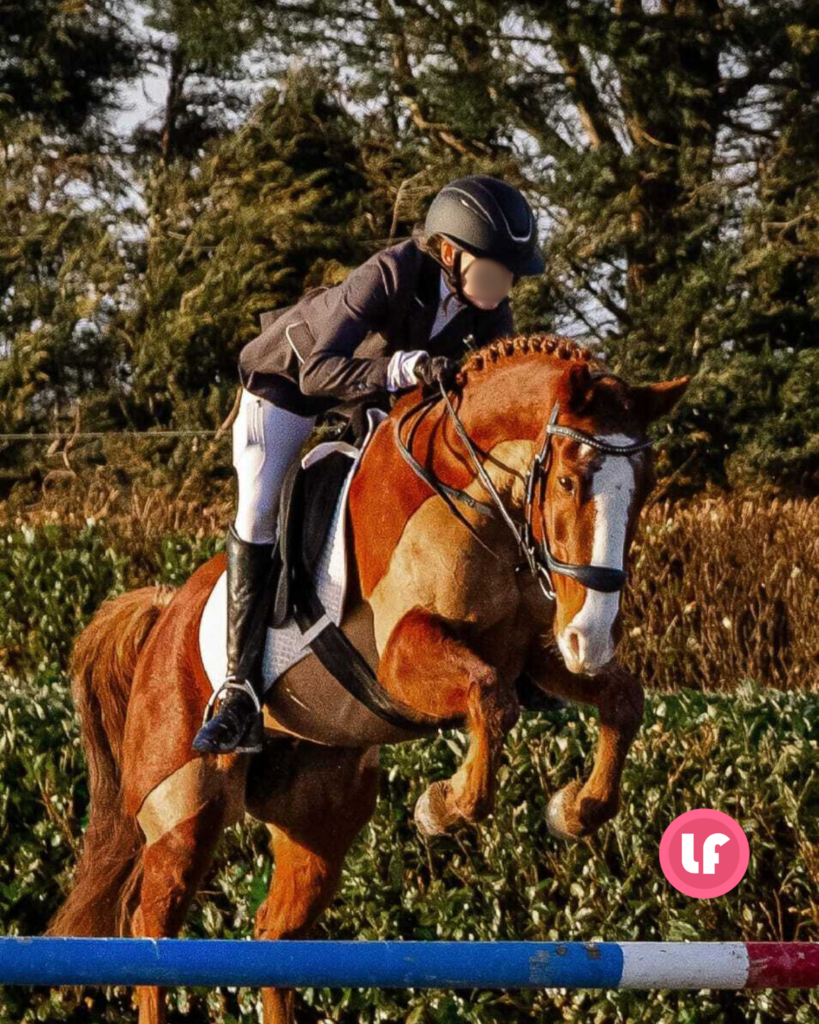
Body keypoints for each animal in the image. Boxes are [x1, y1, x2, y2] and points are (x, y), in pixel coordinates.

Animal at [43, 331, 683, 1019]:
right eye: (567, 480)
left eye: (644, 489)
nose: (593, 637)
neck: (474, 498)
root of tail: (166, 616)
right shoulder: (403, 655)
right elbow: (489, 698)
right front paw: (442, 807)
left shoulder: (536, 654)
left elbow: (620, 700)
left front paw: (575, 809)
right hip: (182, 808)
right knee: (152, 929)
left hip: (319, 818)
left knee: (274, 936)